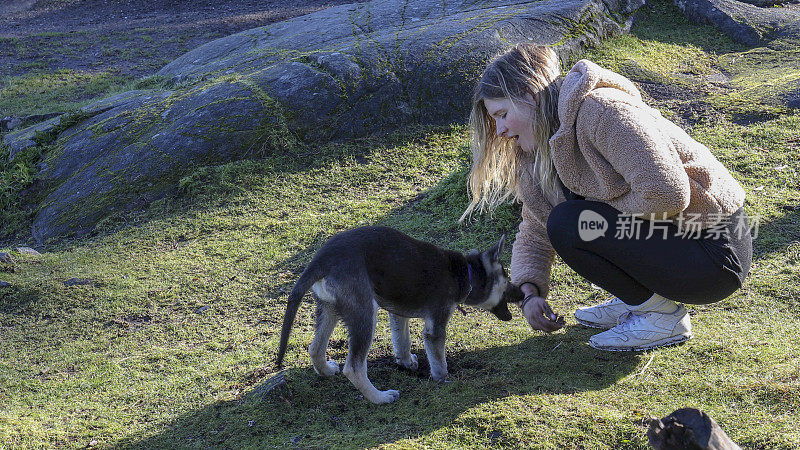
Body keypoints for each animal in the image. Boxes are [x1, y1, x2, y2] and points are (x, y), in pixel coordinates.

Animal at [276, 227, 524, 406]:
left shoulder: (398, 313)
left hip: (330, 308)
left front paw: (406, 362)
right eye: (506, 279)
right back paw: (380, 398)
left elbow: (402, 340)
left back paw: (326, 371)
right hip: (364, 313)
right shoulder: (436, 325)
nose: (522, 292)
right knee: (354, 367)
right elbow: (438, 358)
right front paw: (442, 378)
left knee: (315, 347)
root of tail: (321, 260)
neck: (467, 273)